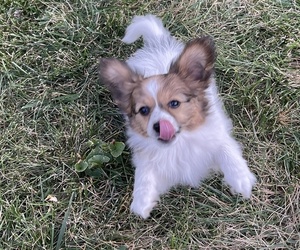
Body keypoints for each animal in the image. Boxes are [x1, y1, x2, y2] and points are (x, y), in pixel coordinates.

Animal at [98, 14, 255, 218]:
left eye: (174, 103)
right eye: (144, 110)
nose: (159, 126)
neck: (180, 144)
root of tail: (157, 43)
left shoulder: (216, 134)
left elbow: (227, 151)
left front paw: (240, 180)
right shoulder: (148, 157)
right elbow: (144, 173)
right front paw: (141, 201)